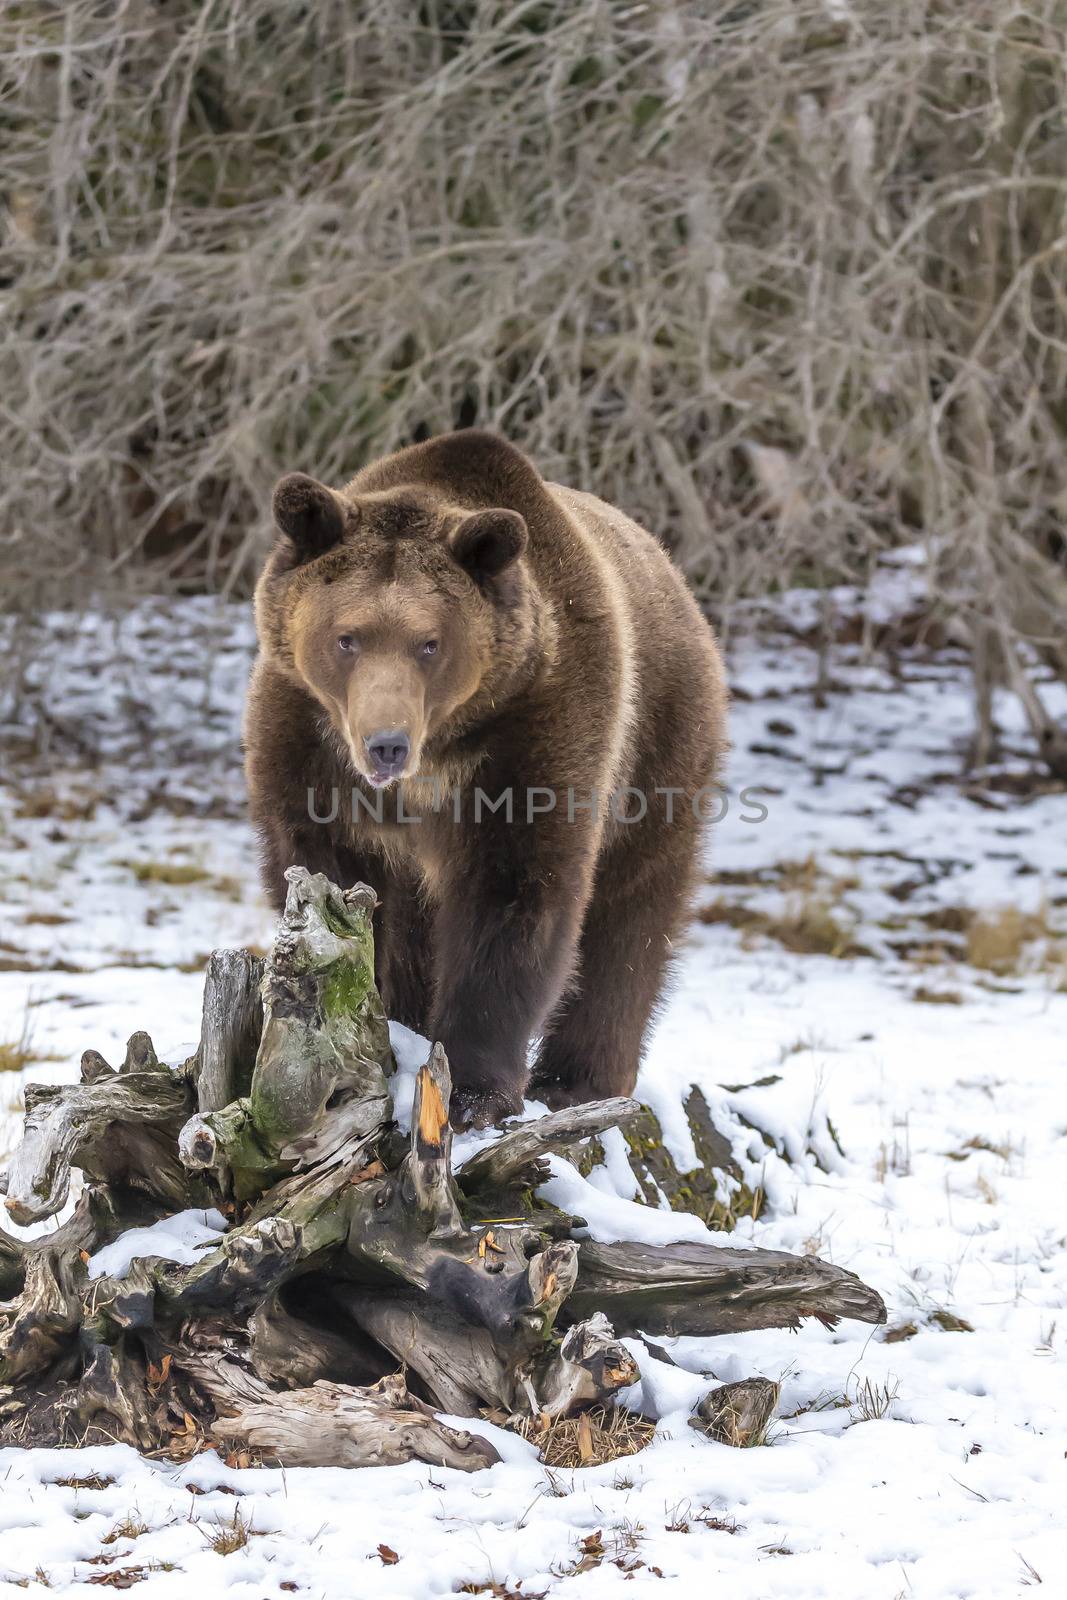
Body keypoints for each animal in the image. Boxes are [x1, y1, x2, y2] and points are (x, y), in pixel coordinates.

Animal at [244, 425, 726, 1126]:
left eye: (429, 642)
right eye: (346, 637)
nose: (386, 745)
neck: (441, 748)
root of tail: (678, 583)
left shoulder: (537, 728)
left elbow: (514, 893)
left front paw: (473, 1089)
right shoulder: (309, 737)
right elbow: (327, 868)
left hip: (662, 742)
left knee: (632, 909)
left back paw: (582, 1078)